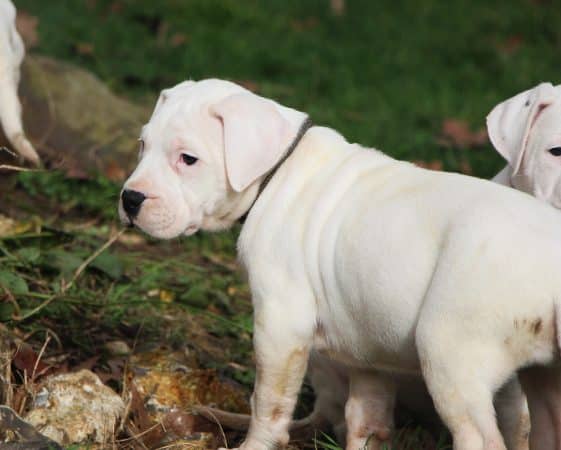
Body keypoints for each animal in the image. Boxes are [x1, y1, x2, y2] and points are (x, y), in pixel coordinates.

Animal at [121, 78, 561, 450]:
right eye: (141, 145)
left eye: (188, 159)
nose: (130, 199)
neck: (278, 169)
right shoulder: (368, 351)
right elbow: (366, 420)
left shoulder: (280, 327)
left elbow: (268, 402)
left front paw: (256, 444)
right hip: (545, 379)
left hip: (449, 354)